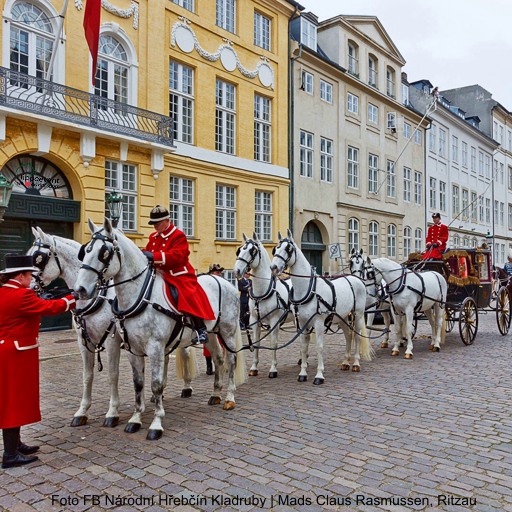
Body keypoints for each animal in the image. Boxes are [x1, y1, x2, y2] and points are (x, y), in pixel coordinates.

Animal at [73, 219, 246, 440]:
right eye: (85, 250)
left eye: (104, 252)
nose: (80, 290)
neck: (140, 295)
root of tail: (226, 282)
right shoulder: (132, 350)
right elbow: (138, 383)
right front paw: (135, 419)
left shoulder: (155, 348)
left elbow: (156, 384)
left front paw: (156, 423)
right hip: (211, 334)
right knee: (218, 359)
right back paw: (215, 394)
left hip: (228, 332)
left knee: (231, 361)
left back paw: (229, 397)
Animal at [233, 232, 292, 376]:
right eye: (240, 250)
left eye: (252, 251)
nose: (236, 271)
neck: (263, 292)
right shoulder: (254, 320)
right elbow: (255, 343)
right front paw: (254, 368)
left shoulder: (274, 321)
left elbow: (273, 344)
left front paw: (273, 369)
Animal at [270, 230, 374, 382]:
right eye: (276, 249)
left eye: (288, 249)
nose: (274, 267)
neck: (308, 289)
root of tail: (356, 279)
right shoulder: (302, 323)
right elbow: (303, 347)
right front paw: (303, 373)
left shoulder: (318, 322)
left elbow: (319, 347)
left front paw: (319, 375)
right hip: (342, 318)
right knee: (348, 337)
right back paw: (345, 362)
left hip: (358, 315)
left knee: (357, 336)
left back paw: (355, 363)